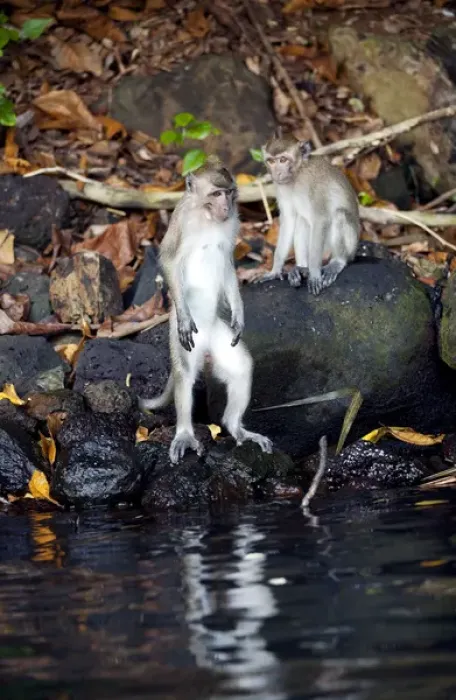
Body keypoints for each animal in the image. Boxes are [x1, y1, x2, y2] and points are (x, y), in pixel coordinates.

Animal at [138, 158, 273, 464]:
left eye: (229, 193)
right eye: (215, 193)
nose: (225, 207)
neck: (207, 217)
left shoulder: (233, 223)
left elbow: (228, 264)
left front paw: (239, 316)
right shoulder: (180, 221)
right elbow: (168, 260)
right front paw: (186, 317)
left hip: (219, 338)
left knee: (240, 367)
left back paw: (236, 427)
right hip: (185, 338)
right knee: (186, 373)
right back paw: (185, 433)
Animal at [259, 133, 360, 295]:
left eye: (283, 160)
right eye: (271, 161)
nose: (277, 173)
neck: (298, 174)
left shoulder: (316, 186)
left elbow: (321, 219)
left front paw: (314, 274)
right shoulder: (281, 187)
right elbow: (289, 221)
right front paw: (275, 271)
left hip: (348, 248)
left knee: (339, 215)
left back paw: (337, 261)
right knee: (302, 221)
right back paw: (301, 268)